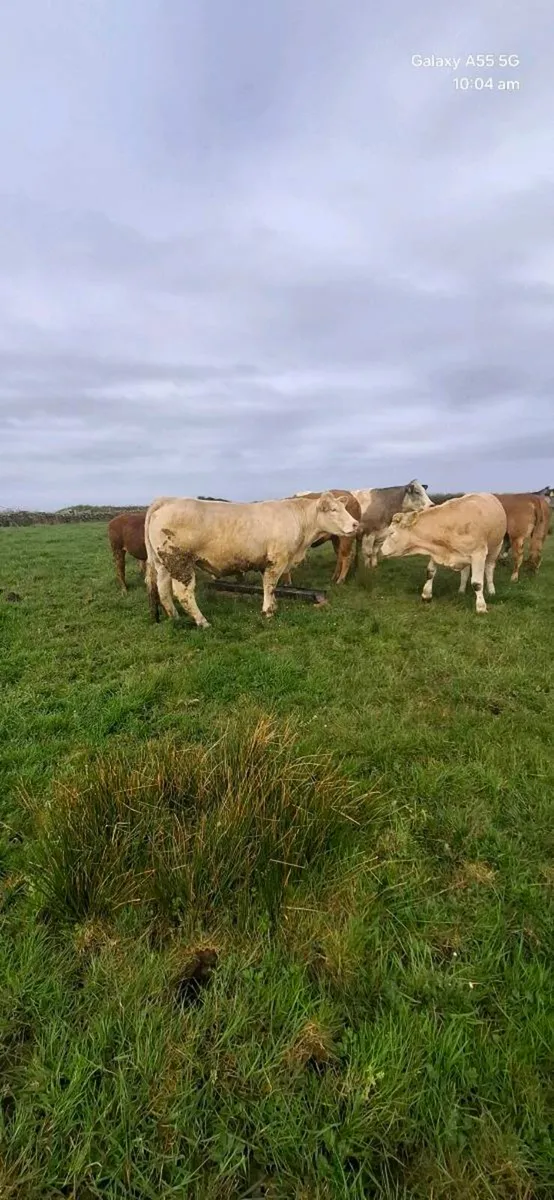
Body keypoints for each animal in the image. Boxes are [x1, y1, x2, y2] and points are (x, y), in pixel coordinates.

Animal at [145, 492, 361, 627]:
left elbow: (271, 586)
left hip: (163, 562)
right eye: (333, 510)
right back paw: (202, 621)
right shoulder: (277, 559)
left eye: (343, 507)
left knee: (163, 590)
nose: (355, 524)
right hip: (180, 562)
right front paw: (268, 611)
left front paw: (273, 605)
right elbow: (270, 585)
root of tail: (167, 500)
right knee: (183, 592)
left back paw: (174, 617)